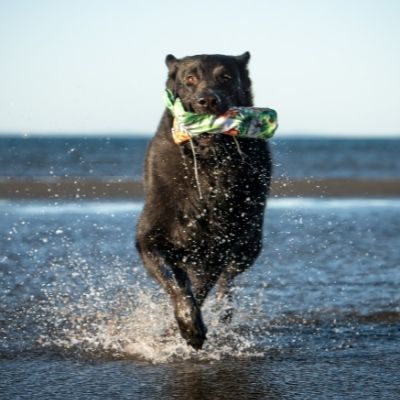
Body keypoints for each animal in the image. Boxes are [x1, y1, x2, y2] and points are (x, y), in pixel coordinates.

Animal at [137, 53, 272, 350]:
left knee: (227, 282)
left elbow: (199, 289)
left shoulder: (216, 247)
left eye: (226, 77)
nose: (207, 101)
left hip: (249, 243)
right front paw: (188, 325)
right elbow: (177, 283)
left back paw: (224, 312)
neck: (208, 162)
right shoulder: (150, 238)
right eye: (190, 78)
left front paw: (184, 330)